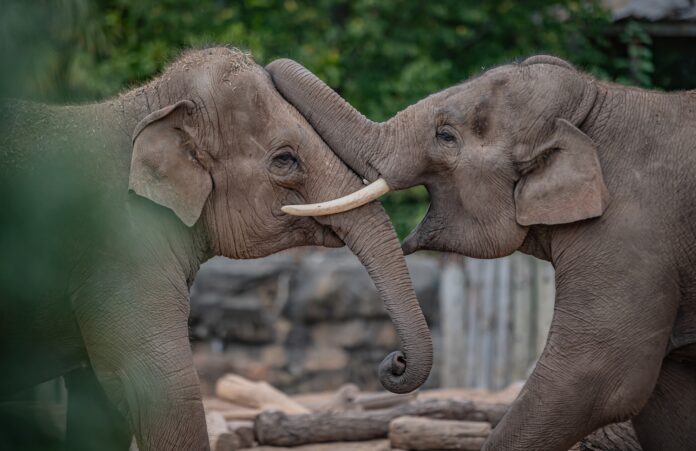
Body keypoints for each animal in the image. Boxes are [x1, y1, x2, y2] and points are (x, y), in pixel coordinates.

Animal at [267, 55, 696, 451]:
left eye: (445, 136)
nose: (396, 361)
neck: (598, 102)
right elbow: (665, 394)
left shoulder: (633, 228)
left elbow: (598, 376)